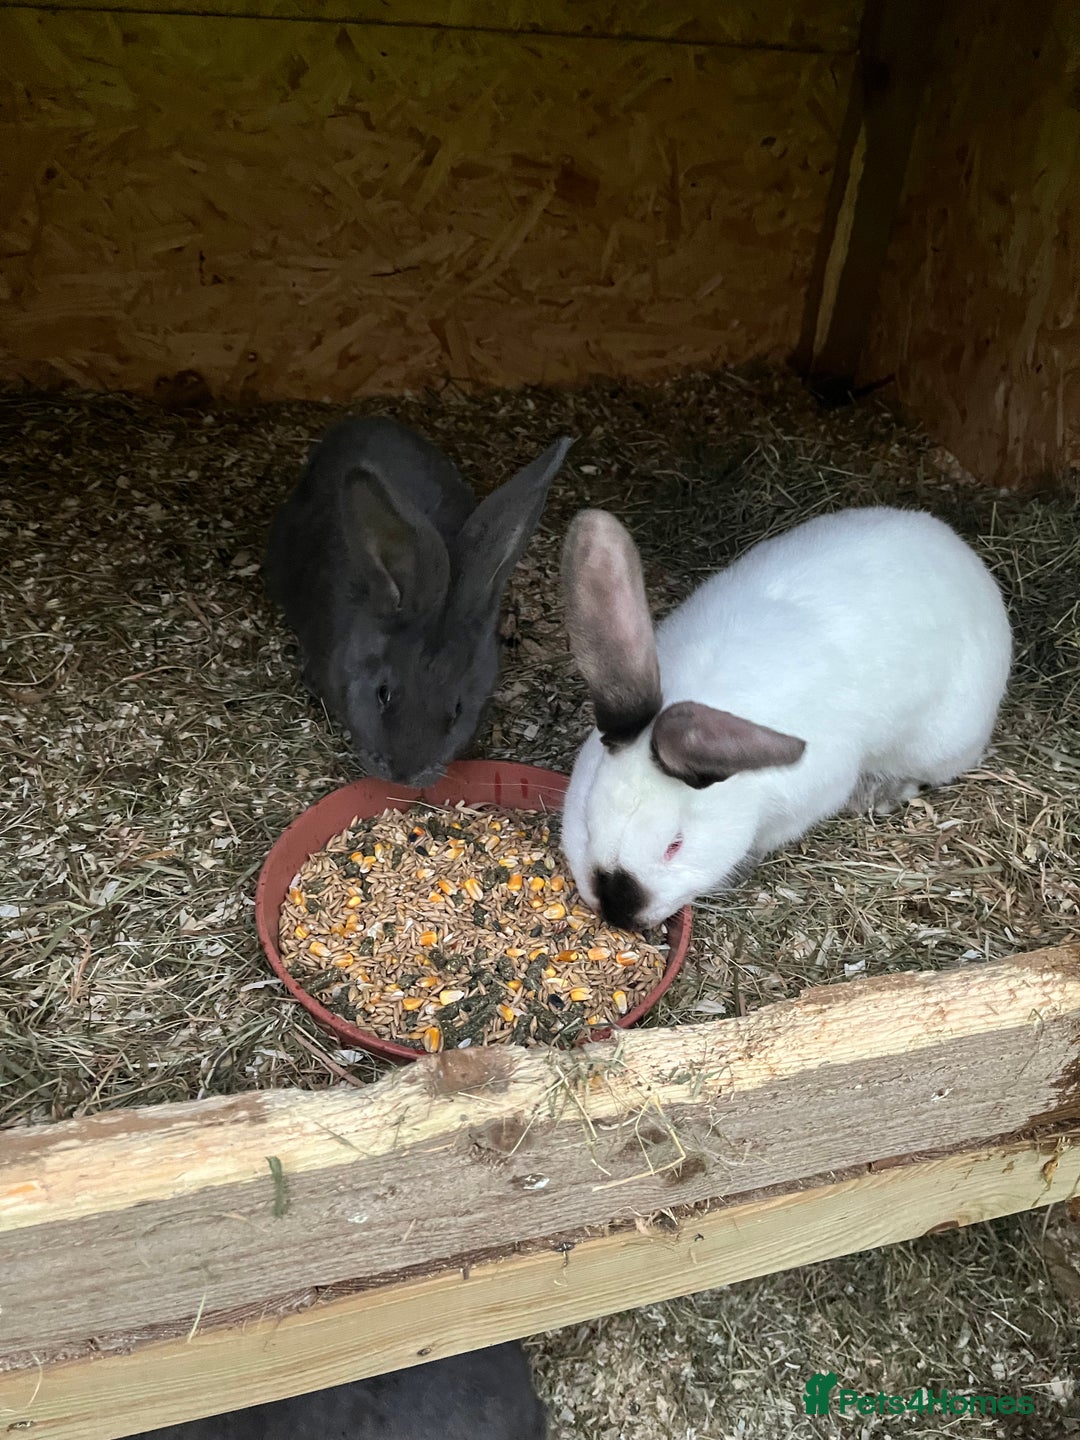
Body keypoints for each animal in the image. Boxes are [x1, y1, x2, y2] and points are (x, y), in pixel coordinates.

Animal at [560, 505, 1012, 931]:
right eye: (586, 820)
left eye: (675, 845)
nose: (618, 912)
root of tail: (958, 549)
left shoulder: (812, 797)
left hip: (941, 740)